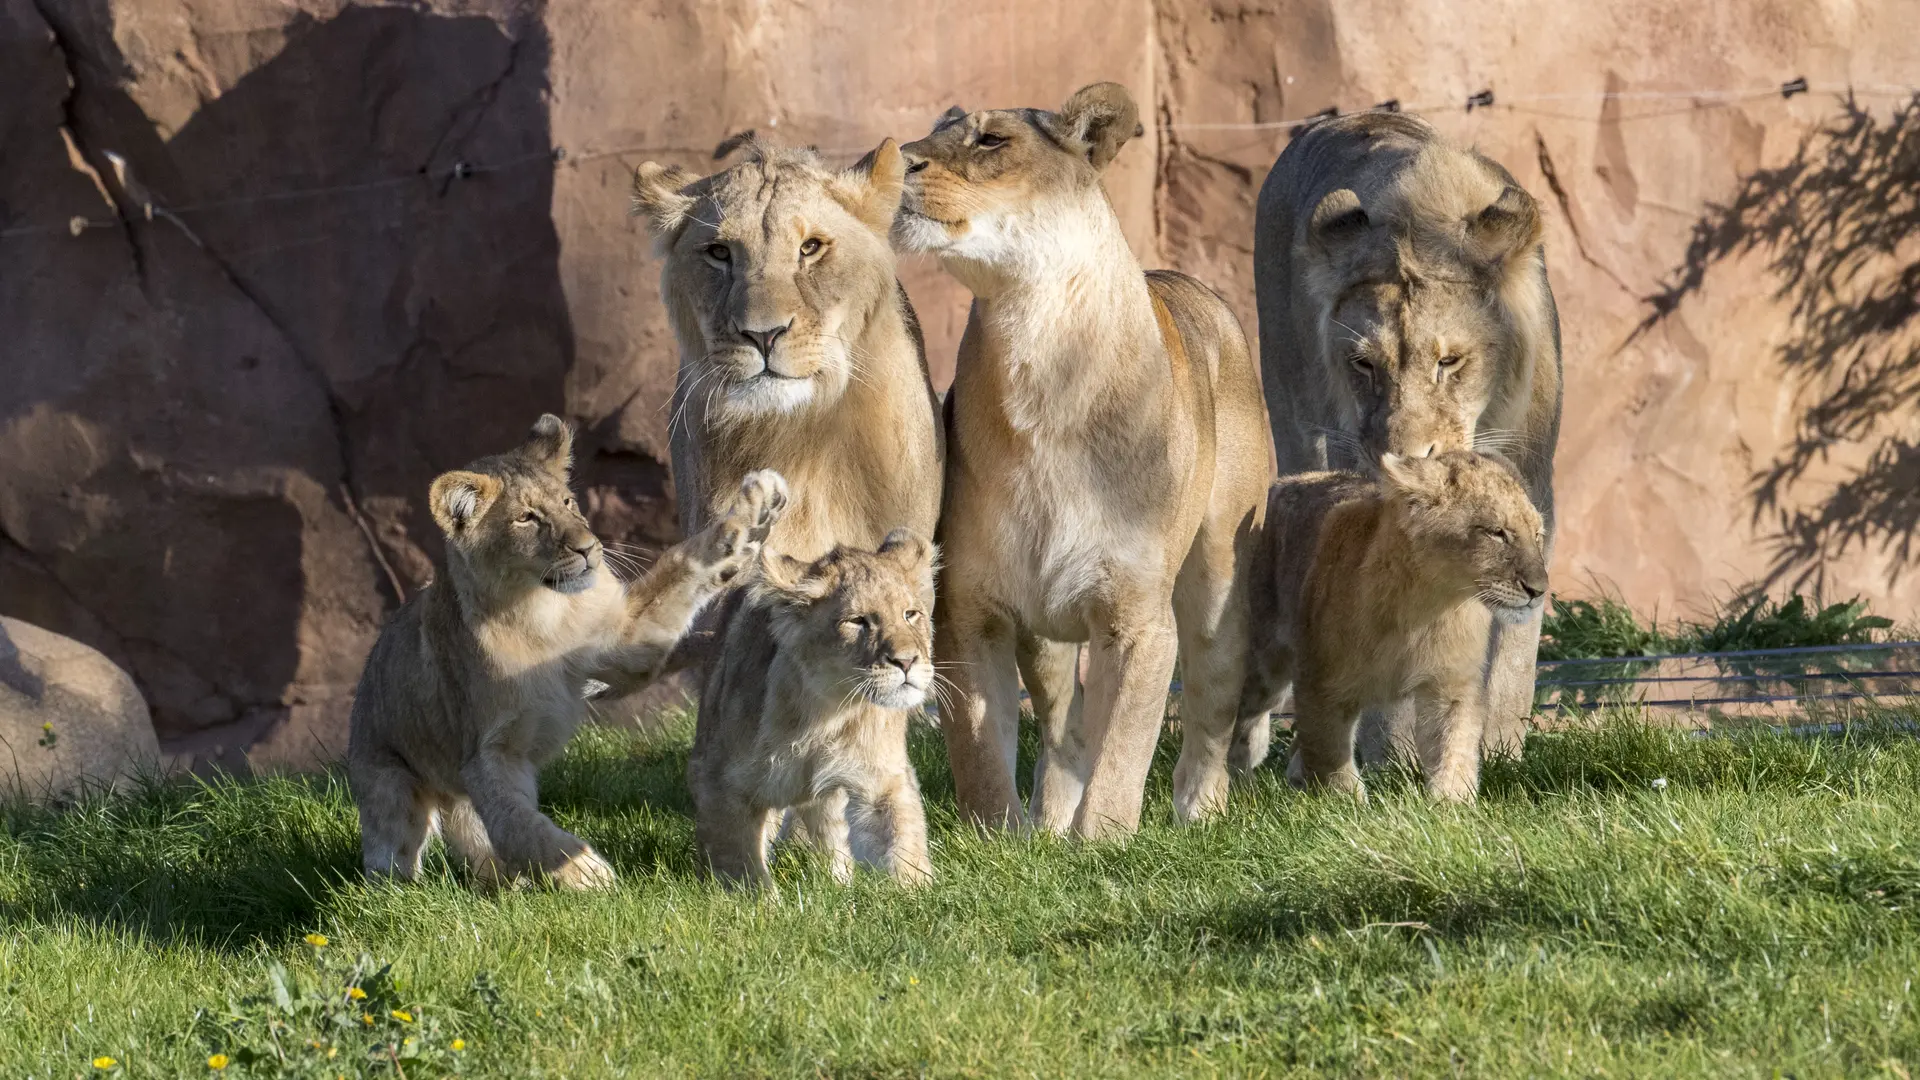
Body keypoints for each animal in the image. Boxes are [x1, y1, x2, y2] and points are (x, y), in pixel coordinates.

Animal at [347, 414, 788, 889]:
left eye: (568, 502)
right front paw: (587, 873)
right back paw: (401, 890)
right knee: (393, 855)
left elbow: (681, 570)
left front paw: (757, 512)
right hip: (391, 785)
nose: (588, 547)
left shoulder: (622, 642)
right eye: (527, 518)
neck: (544, 612)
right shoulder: (490, 753)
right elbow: (519, 824)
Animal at [689, 528, 937, 888]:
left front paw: (916, 895)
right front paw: (761, 900)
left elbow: (902, 844)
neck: (825, 712)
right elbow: (742, 870)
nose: (906, 661)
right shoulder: (719, 783)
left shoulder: (880, 779)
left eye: (910, 614)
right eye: (858, 621)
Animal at [895, 83, 1273, 838]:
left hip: (1219, 582)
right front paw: (1000, 839)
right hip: (1046, 627)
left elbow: (1123, 745)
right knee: (1062, 723)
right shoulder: (971, 608)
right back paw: (1049, 820)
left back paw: (1201, 810)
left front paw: (1101, 840)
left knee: (1211, 709)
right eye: (933, 132)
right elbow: (980, 747)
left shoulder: (1138, 615)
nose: (900, 161)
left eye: (991, 140)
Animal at [1240, 451, 1548, 802]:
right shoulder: (1322, 683)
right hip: (1263, 667)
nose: (1539, 590)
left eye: (1538, 535)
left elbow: (1453, 742)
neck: (1425, 603)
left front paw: (1451, 802)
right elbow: (1329, 751)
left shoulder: (1450, 683)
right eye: (1496, 533)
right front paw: (1346, 801)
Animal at [1246, 109, 1563, 771]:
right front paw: (1393, 756)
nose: (1406, 455)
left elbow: (1512, 640)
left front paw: (1499, 749)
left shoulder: (1532, 484)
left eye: (1449, 361)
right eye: (1364, 365)